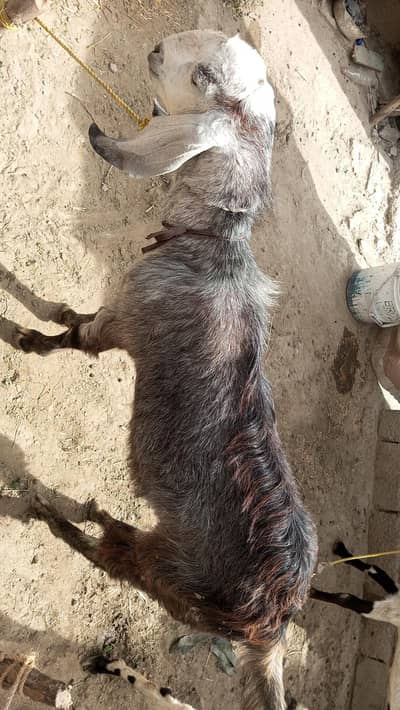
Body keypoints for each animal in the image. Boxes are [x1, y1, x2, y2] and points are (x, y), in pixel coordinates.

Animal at [1, 30, 317, 709]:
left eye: (202, 76)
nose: (156, 48)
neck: (209, 246)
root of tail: (275, 627)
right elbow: (72, 314)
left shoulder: (124, 320)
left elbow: (74, 337)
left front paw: (22, 335)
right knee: (114, 536)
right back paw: (92, 511)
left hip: (169, 576)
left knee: (107, 557)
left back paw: (43, 509)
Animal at [311, 542, 400, 710]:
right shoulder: (396, 593)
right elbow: (372, 568)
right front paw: (341, 550)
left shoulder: (391, 612)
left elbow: (346, 598)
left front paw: (310, 592)